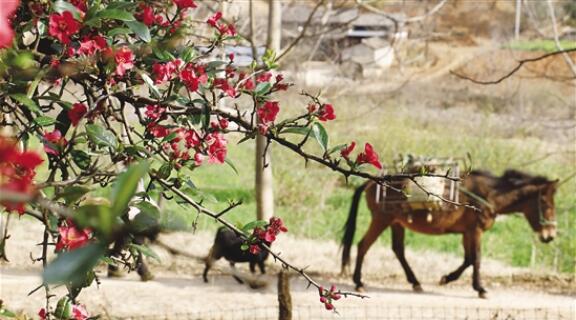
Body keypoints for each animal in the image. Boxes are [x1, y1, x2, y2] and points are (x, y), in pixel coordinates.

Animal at [342, 170, 560, 298]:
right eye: (546, 204)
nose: (550, 235)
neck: (488, 194)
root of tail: (371, 183)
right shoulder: (475, 231)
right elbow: (476, 258)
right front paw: (480, 288)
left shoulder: (467, 232)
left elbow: (468, 259)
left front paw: (447, 278)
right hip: (381, 220)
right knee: (363, 245)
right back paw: (359, 282)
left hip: (396, 223)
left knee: (398, 250)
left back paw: (415, 283)